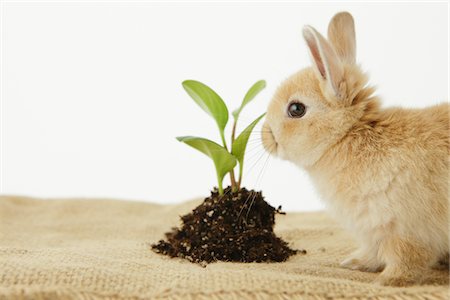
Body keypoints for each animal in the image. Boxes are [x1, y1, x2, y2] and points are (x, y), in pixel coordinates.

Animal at [262, 11, 448, 286]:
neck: (346, 136)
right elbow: (373, 252)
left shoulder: (406, 230)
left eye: (296, 109)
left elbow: (406, 261)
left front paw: (386, 282)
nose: (266, 137)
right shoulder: (372, 233)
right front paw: (355, 263)